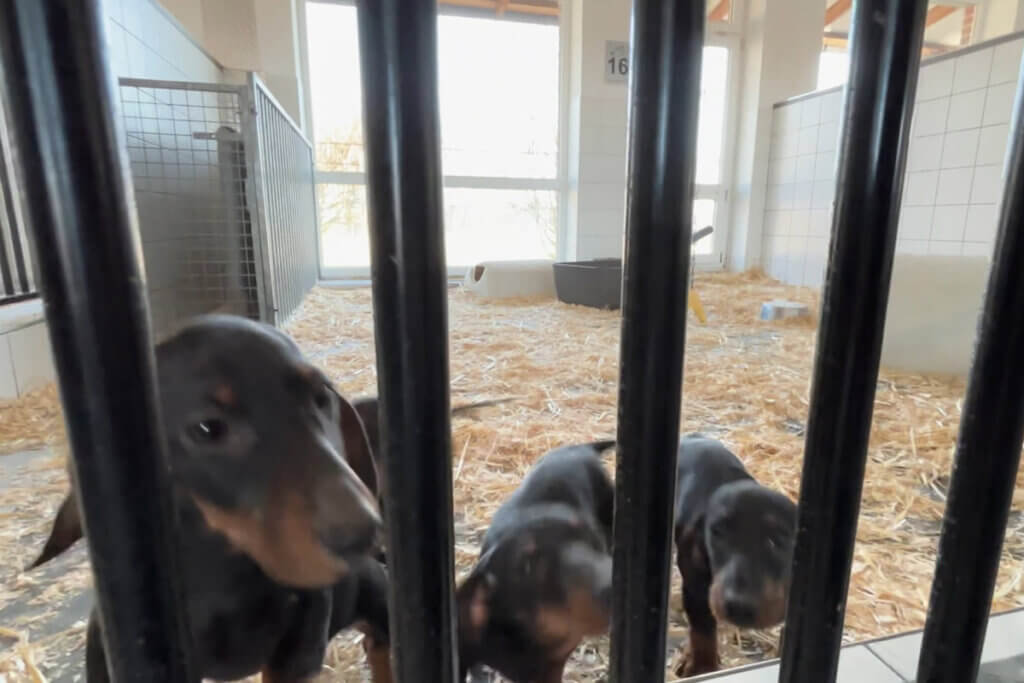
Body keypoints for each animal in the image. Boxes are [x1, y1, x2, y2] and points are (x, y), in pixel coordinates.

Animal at [673, 434, 797, 677]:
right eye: (717, 533)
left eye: (776, 541)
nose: (738, 606)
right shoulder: (695, 580)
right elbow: (702, 625)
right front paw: (702, 666)